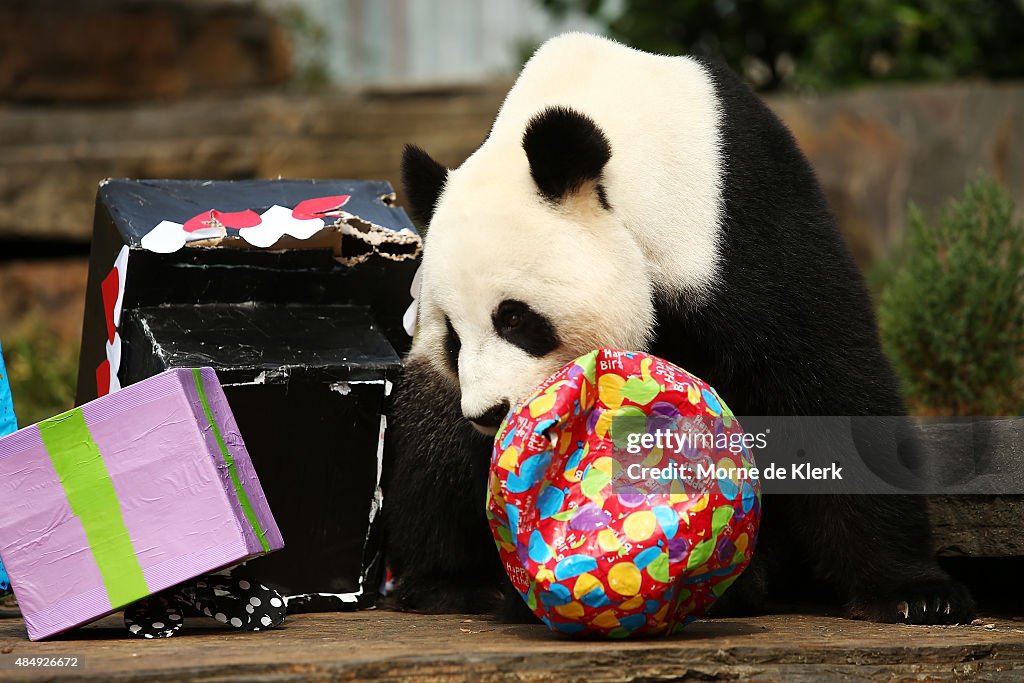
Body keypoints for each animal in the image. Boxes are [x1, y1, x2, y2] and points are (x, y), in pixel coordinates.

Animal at [380, 34, 970, 626]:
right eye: (453, 338)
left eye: (516, 318)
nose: (490, 413)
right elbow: (436, 432)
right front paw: (459, 580)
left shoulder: (739, 225)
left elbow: (823, 380)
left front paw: (913, 593)